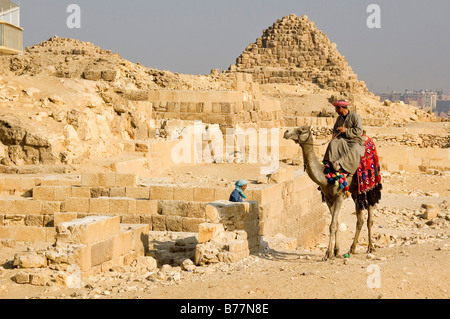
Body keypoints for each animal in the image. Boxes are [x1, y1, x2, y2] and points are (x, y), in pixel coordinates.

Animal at [284, 126, 380, 262]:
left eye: (301, 129)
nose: (286, 132)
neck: (325, 176)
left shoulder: (339, 196)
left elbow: (332, 225)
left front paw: (328, 254)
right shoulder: (329, 198)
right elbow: (337, 224)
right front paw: (336, 252)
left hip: (370, 185)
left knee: (369, 218)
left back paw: (370, 247)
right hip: (355, 191)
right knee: (360, 219)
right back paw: (352, 249)